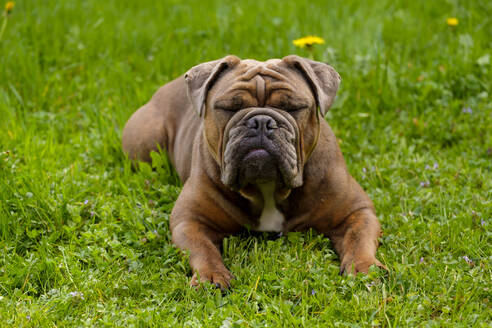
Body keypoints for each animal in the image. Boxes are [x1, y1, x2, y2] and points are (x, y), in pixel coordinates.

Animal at [122, 55, 384, 290]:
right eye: (229, 107)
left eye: (293, 107)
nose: (261, 122)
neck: (267, 188)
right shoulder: (190, 219)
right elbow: (202, 249)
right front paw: (210, 276)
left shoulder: (355, 211)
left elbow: (359, 239)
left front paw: (365, 269)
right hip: (146, 143)